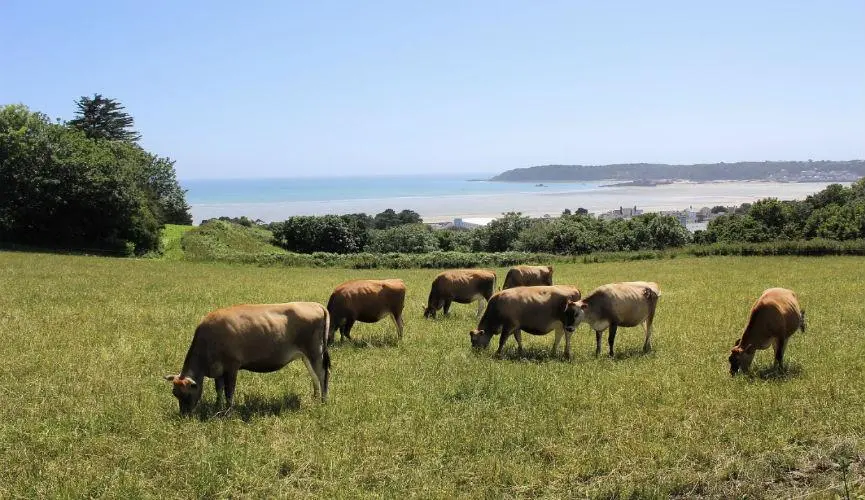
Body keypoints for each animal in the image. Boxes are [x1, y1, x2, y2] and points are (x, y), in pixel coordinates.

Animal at [163, 302, 330, 416]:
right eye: (175, 393)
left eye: (186, 394)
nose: (184, 415)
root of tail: (315, 304)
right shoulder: (218, 369)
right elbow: (219, 389)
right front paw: (217, 407)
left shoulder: (232, 366)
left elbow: (229, 391)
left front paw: (228, 412)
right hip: (306, 356)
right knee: (314, 376)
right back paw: (315, 398)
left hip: (315, 352)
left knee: (322, 374)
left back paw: (323, 401)